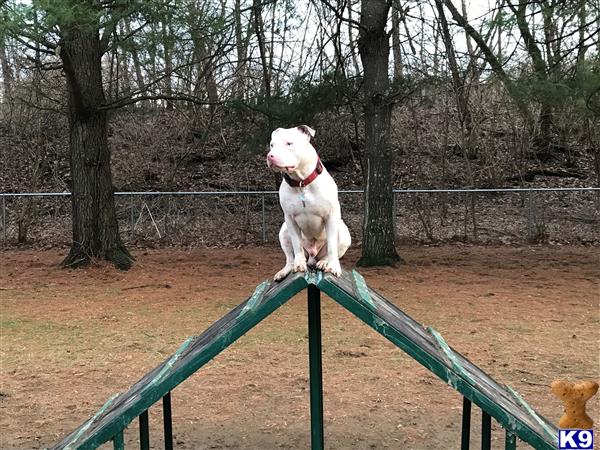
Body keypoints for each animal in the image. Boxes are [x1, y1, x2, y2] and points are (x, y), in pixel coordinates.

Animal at [264, 125, 350, 280]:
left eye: (289, 143)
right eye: (272, 145)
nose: (270, 156)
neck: (301, 182)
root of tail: (312, 256)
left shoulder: (331, 217)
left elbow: (332, 247)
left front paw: (334, 267)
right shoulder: (290, 219)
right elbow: (296, 245)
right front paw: (299, 265)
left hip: (343, 231)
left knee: (330, 251)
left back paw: (324, 262)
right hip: (283, 230)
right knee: (289, 257)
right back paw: (286, 269)